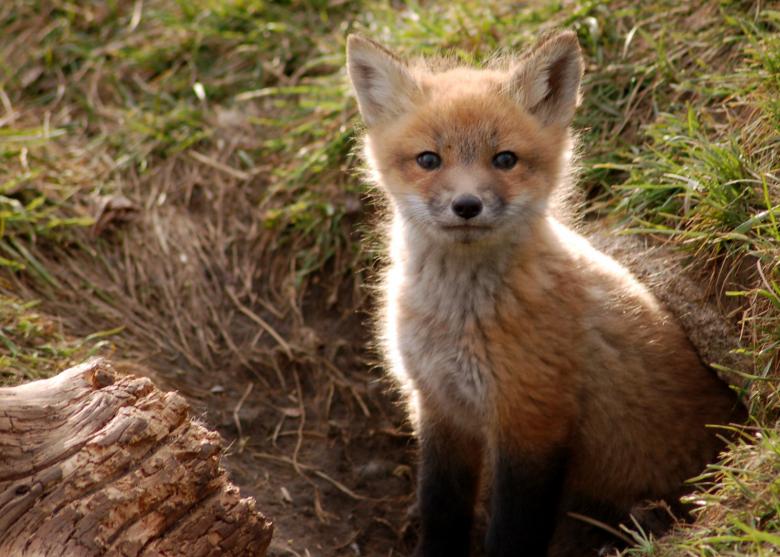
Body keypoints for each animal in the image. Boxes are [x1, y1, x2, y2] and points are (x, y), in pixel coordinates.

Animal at [346, 31, 745, 557]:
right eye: (429, 160)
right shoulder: (439, 408)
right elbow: (440, 510)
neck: (458, 323)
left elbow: (512, 532)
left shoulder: (532, 421)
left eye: (505, 159)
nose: (467, 205)